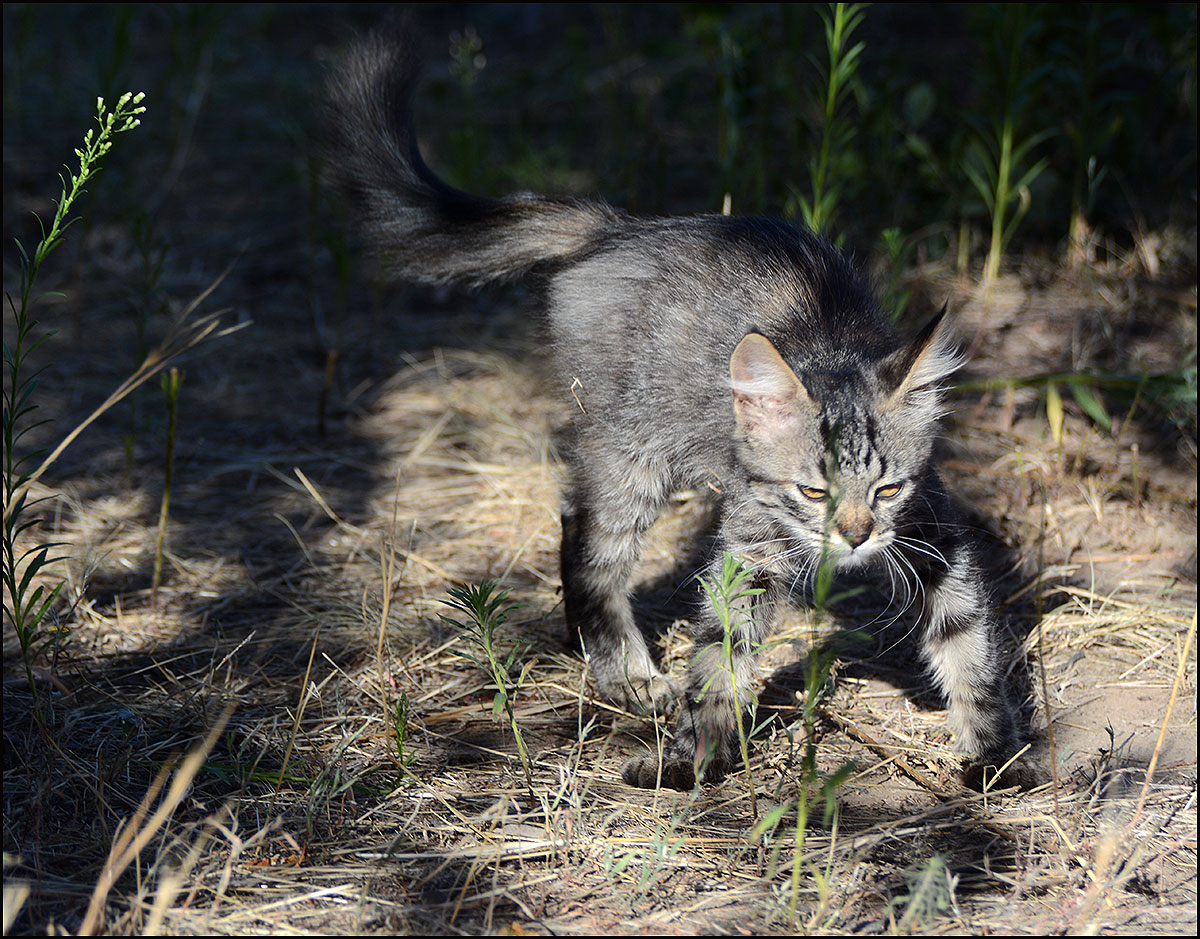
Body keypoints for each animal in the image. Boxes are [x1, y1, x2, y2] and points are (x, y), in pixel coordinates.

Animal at [324, 25, 1027, 792]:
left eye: (888, 488)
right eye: (813, 490)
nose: (856, 538)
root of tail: (621, 228)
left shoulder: (933, 530)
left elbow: (967, 640)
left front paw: (993, 751)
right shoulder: (750, 546)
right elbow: (722, 651)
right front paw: (698, 756)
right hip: (632, 453)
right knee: (588, 543)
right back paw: (624, 672)